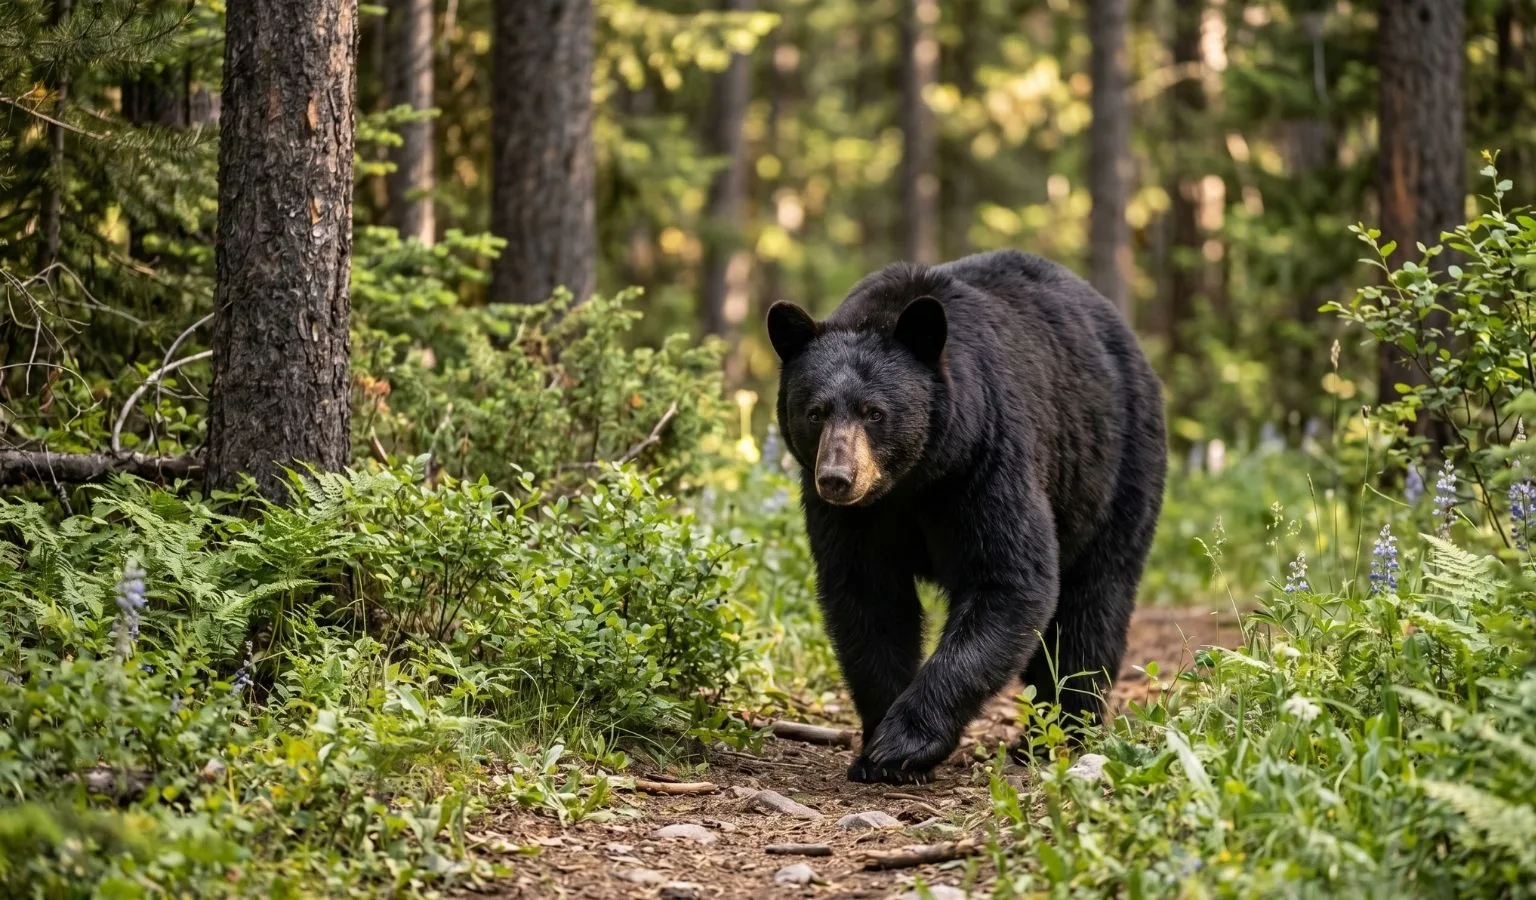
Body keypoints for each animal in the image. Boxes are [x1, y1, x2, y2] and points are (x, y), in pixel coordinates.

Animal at [766, 249, 1167, 785]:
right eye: (815, 411)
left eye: (874, 412)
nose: (837, 478)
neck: (914, 480)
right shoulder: (856, 519)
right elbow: (868, 599)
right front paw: (874, 747)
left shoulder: (986, 459)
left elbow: (1009, 578)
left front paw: (903, 743)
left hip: (1114, 469)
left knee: (1092, 606)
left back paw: (1061, 733)